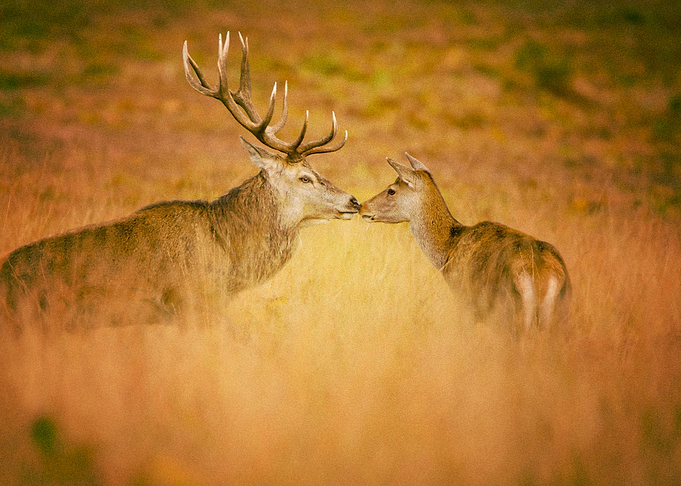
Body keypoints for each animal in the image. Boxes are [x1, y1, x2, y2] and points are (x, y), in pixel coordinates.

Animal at [359, 153, 571, 333]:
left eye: (391, 190)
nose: (362, 206)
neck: (448, 250)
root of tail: (545, 275)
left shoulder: (464, 300)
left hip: (509, 312)